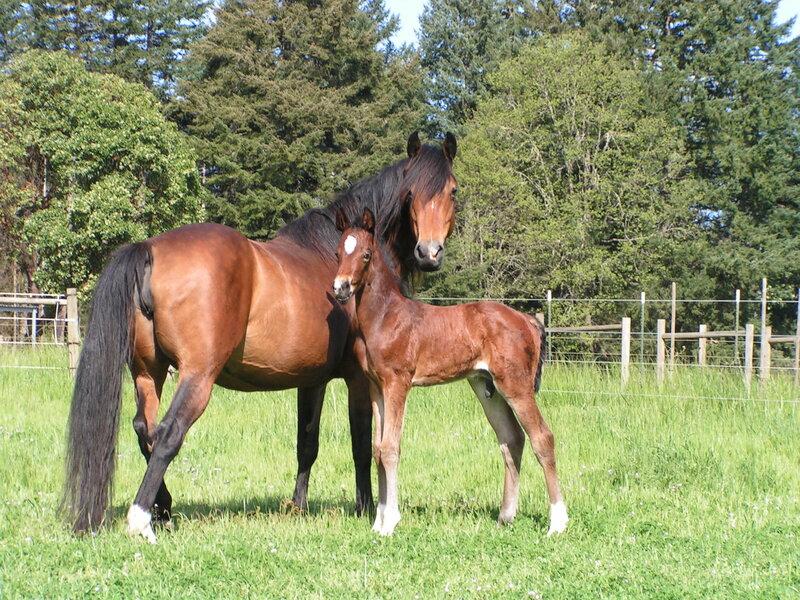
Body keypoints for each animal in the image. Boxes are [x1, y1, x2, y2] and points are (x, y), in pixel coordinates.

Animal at [62, 132, 458, 543]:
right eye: (410, 193)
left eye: (451, 191)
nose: (429, 253)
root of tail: (150, 249)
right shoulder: (359, 379)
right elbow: (363, 445)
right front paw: (366, 507)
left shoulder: (311, 380)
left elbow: (307, 443)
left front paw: (298, 506)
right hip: (196, 376)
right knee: (169, 433)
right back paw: (142, 519)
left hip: (147, 373)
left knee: (146, 430)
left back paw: (164, 509)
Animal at [331, 208, 567, 537]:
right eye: (338, 252)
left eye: (366, 254)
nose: (340, 287)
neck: (385, 317)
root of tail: (527, 320)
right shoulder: (376, 387)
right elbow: (378, 450)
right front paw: (378, 522)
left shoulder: (397, 383)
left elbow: (391, 448)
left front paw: (390, 522)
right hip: (486, 386)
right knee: (512, 438)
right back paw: (505, 516)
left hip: (515, 385)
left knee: (542, 438)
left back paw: (557, 522)